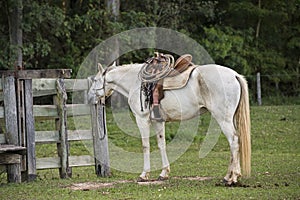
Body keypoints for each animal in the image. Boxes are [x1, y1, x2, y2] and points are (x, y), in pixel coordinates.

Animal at [88, 62, 251, 184]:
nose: (89, 98)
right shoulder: (158, 122)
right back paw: (231, 176)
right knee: (235, 143)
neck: (135, 82)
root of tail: (234, 75)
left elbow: (145, 146)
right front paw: (164, 173)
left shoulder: (142, 119)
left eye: (95, 80)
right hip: (230, 119)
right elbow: (162, 145)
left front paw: (144, 175)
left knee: (234, 141)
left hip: (223, 119)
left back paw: (231, 178)